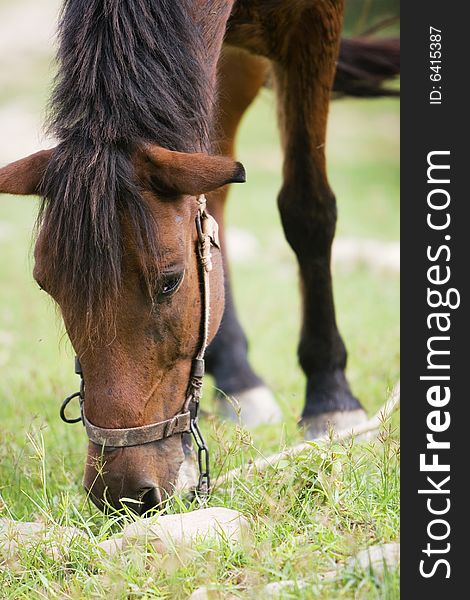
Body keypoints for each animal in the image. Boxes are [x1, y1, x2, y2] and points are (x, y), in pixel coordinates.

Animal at [0, 1, 398, 510]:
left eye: (170, 280)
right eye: (45, 283)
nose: (122, 494)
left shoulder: (313, 26)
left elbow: (308, 209)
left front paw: (331, 396)